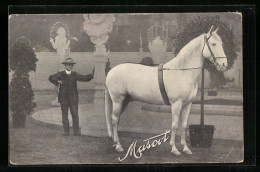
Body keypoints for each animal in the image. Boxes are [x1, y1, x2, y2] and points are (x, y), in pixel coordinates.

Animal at [104, 25, 226, 156]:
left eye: (221, 43)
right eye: (213, 44)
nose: (224, 64)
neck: (182, 71)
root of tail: (110, 71)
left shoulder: (187, 104)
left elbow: (184, 125)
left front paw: (185, 148)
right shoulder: (176, 104)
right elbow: (175, 125)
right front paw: (174, 148)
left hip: (125, 101)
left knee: (116, 120)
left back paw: (115, 143)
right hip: (118, 100)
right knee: (114, 119)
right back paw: (118, 146)